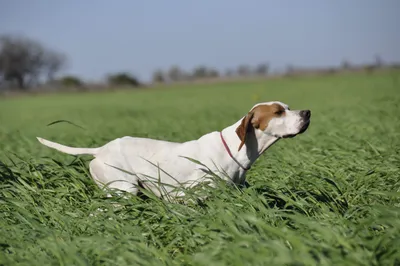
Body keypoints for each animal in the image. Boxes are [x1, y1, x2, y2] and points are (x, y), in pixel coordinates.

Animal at [37, 102, 310, 200]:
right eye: (278, 112)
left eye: (288, 107)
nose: (307, 113)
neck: (235, 149)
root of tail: (100, 150)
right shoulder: (188, 195)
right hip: (122, 190)